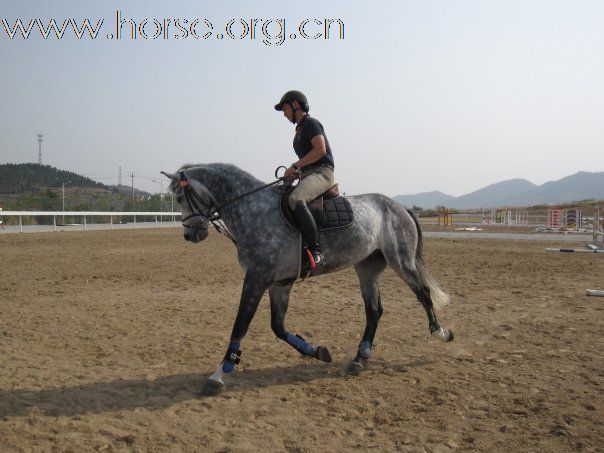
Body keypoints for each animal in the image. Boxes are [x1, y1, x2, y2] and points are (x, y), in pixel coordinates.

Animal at [163, 163, 450, 392]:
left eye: (179, 196)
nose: (190, 235)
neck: (253, 210)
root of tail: (398, 207)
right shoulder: (279, 283)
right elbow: (278, 327)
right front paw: (318, 352)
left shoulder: (256, 278)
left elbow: (241, 324)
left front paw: (219, 374)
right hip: (367, 269)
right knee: (374, 310)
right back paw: (359, 358)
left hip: (401, 261)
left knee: (422, 293)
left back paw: (441, 333)